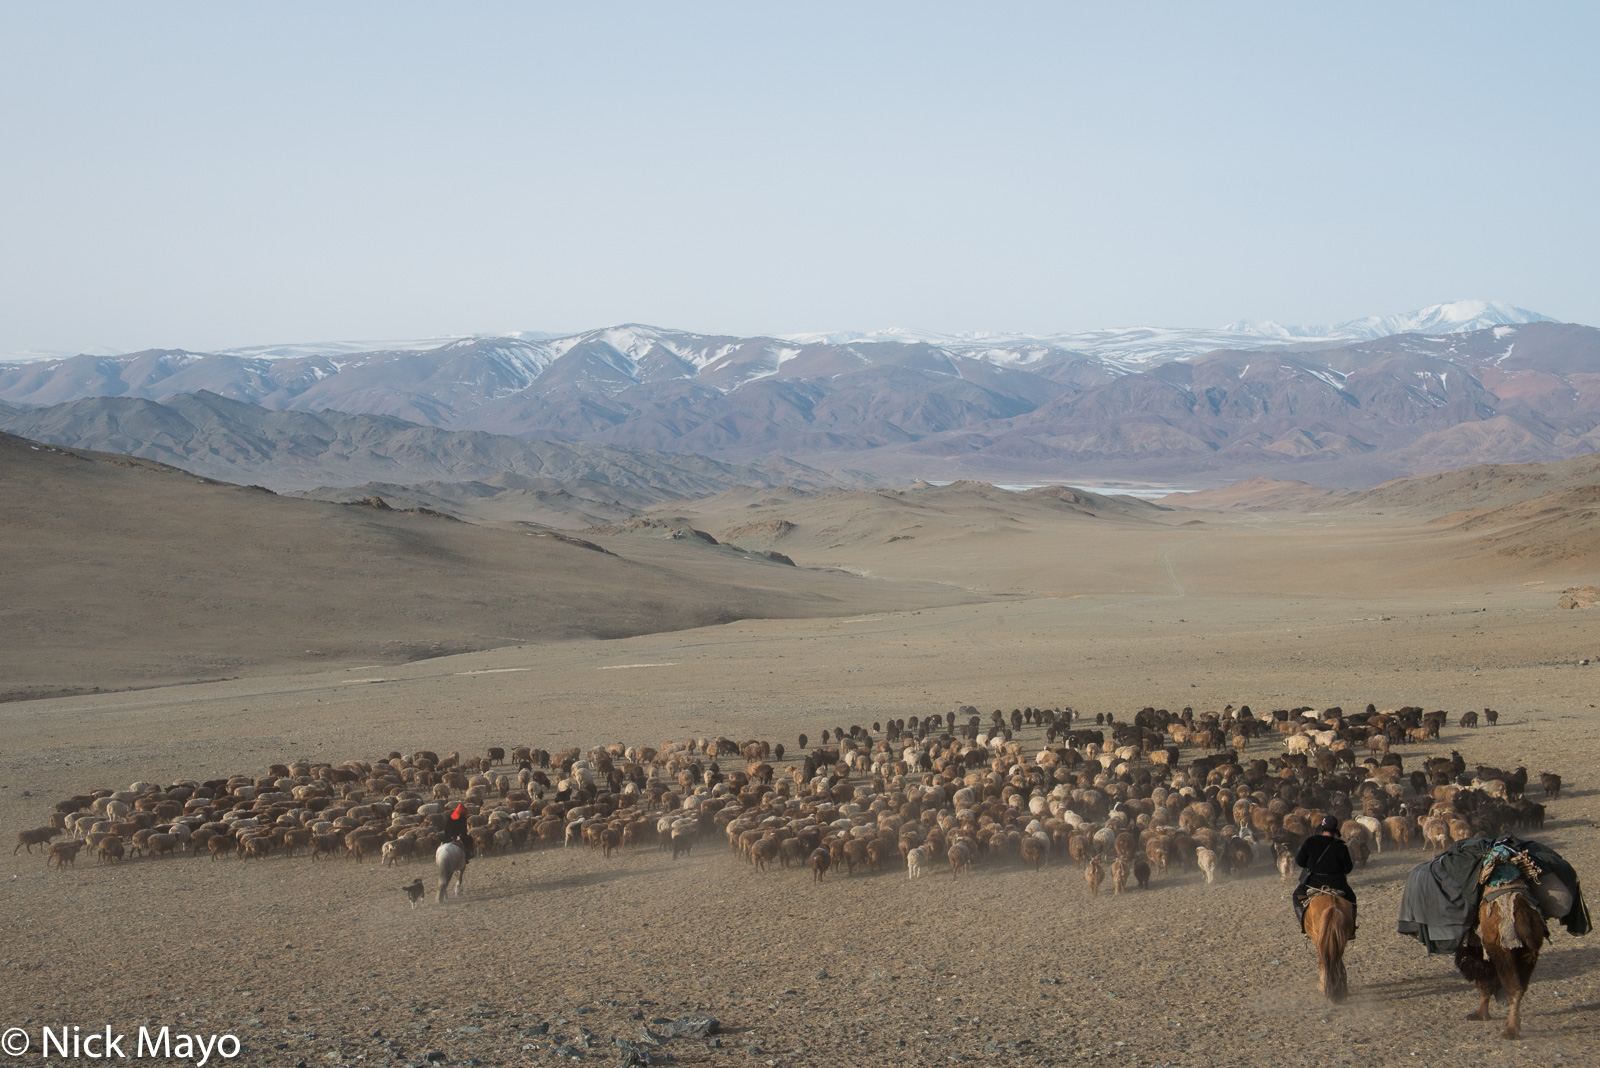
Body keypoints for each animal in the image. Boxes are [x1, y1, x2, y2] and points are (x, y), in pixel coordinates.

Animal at [1459, 888, 1542, 1036]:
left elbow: (1485, 984)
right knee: (1520, 989)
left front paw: (1480, 1015)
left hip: (1504, 954)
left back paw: (1510, 1031)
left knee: (1514, 989)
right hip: (1528, 956)